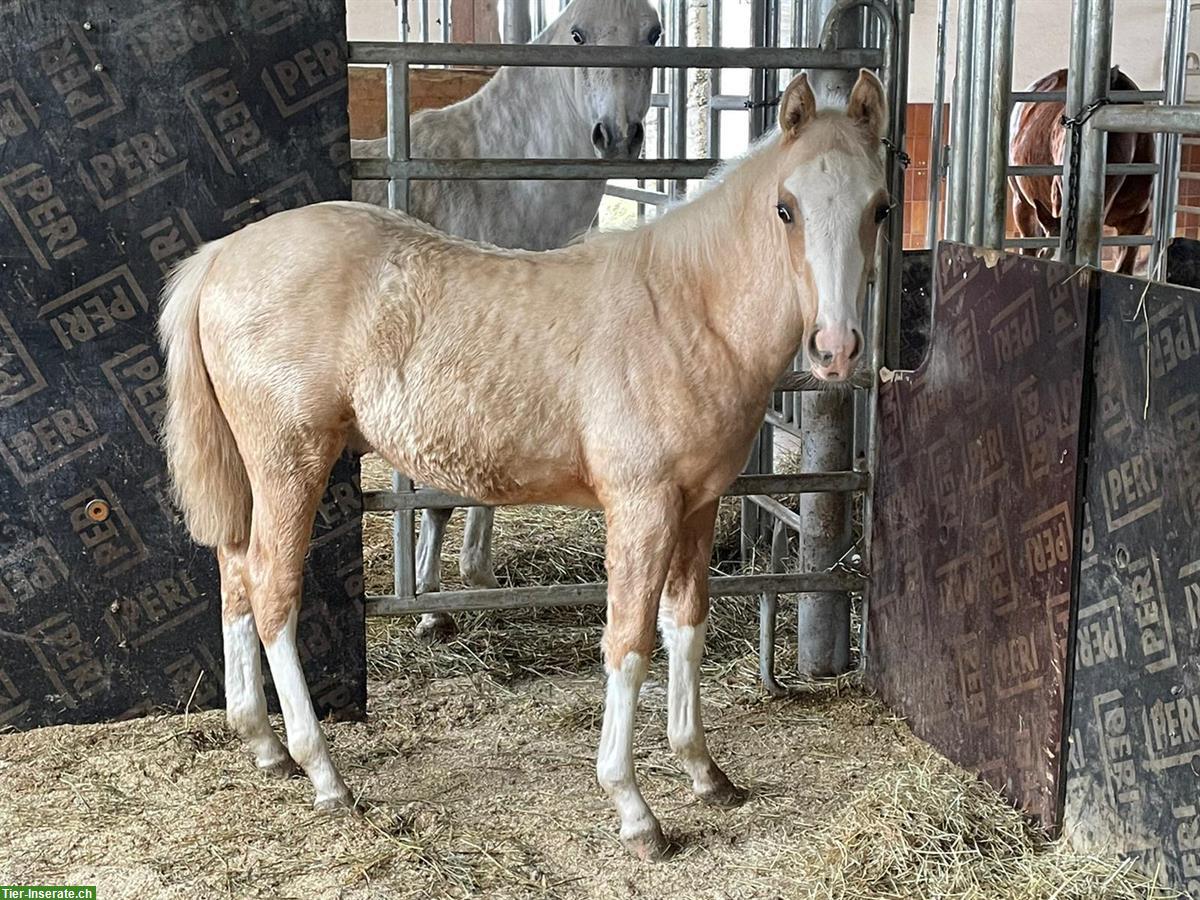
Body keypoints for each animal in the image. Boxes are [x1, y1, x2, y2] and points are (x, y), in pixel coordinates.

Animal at [157, 70, 892, 859]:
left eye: (879, 206)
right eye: (785, 208)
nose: (836, 349)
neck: (683, 310)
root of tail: (221, 256)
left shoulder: (697, 503)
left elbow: (685, 626)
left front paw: (705, 773)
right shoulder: (641, 506)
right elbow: (629, 642)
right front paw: (634, 811)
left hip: (255, 470)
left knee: (235, 572)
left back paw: (265, 747)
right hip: (290, 462)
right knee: (271, 591)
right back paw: (323, 773)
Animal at [350, 0, 662, 643]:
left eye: (654, 33)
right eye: (577, 35)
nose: (618, 135)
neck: (492, 183)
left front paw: (478, 575)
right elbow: (438, 497)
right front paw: (432, 608)